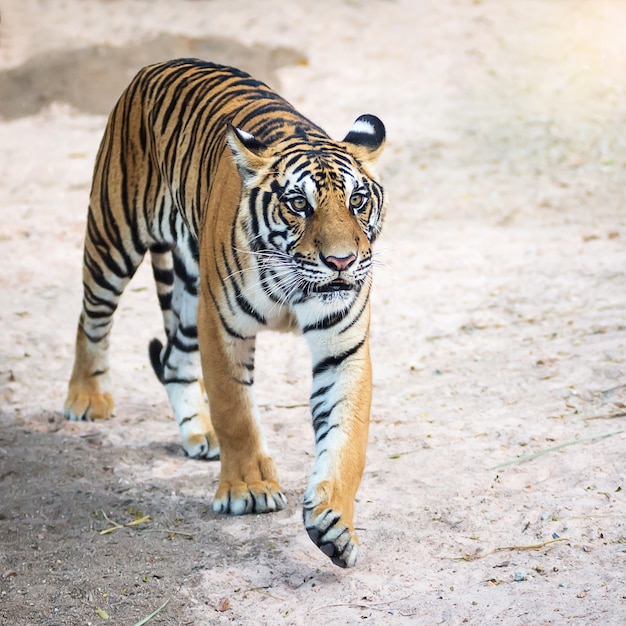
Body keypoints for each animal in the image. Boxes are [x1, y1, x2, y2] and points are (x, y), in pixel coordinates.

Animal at [63, 58, 386, 564]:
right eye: (299, 204)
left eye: (357, 200)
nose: (341, 261)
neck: (295, 285)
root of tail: (156, 65)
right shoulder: (221, 326)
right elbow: (235, 409)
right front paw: (249, 490)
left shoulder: (343, 347)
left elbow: (347, 438)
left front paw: (334, 524)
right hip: (113, 235)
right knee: (92, 318)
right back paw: (87, 398)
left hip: (187, 286)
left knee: (173, 360)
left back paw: (200, 434)